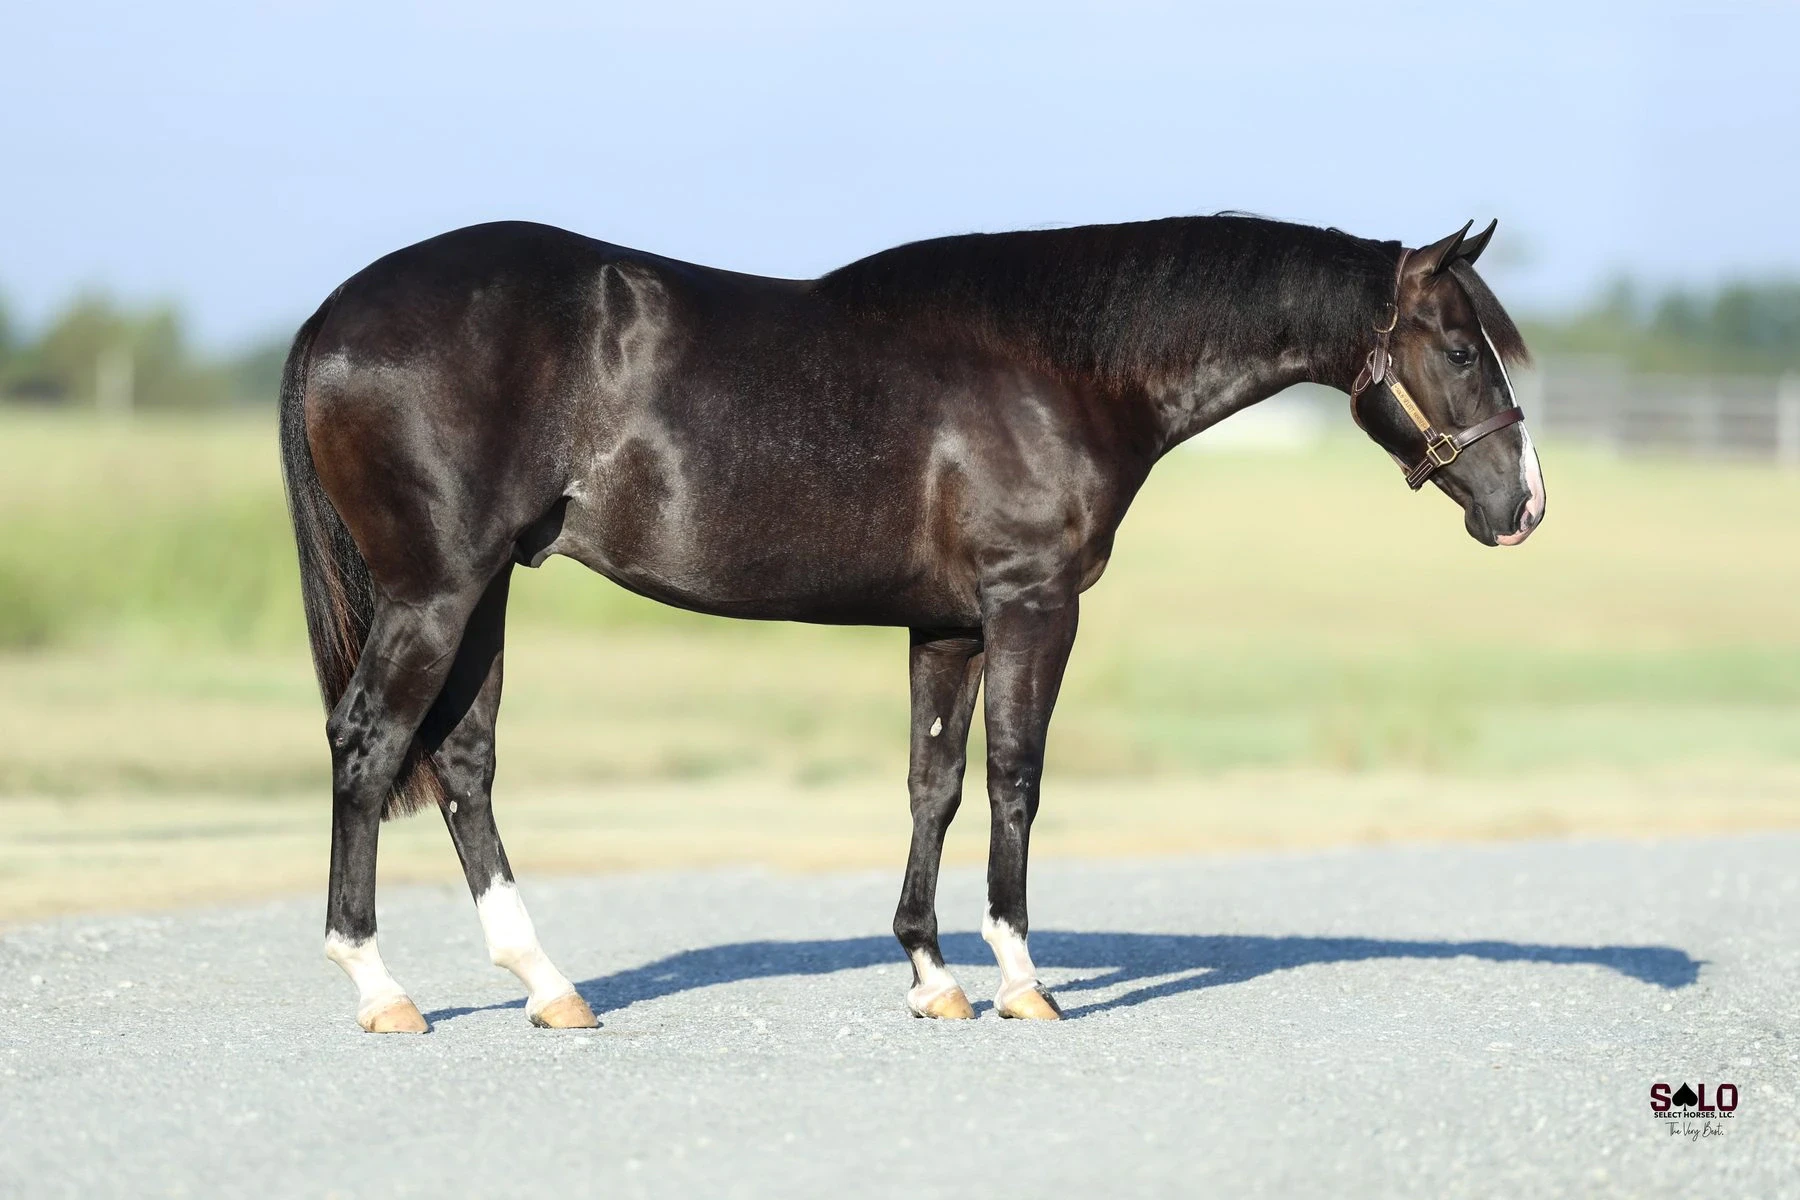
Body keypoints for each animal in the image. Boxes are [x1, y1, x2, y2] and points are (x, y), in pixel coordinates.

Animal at [278, 213, 1545, 1033]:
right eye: (1459, 345)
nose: (1524, 505)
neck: (1059, 367)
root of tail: (333, 312)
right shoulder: (1032, 605)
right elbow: (1015, 781)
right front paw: (1023, 980)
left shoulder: (948, 628)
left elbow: (932, 786)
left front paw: (933, 976)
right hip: (437, 589)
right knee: (370, 744)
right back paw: (382, 989)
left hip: (484, 589)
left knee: (463, 763)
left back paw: (550, 987)